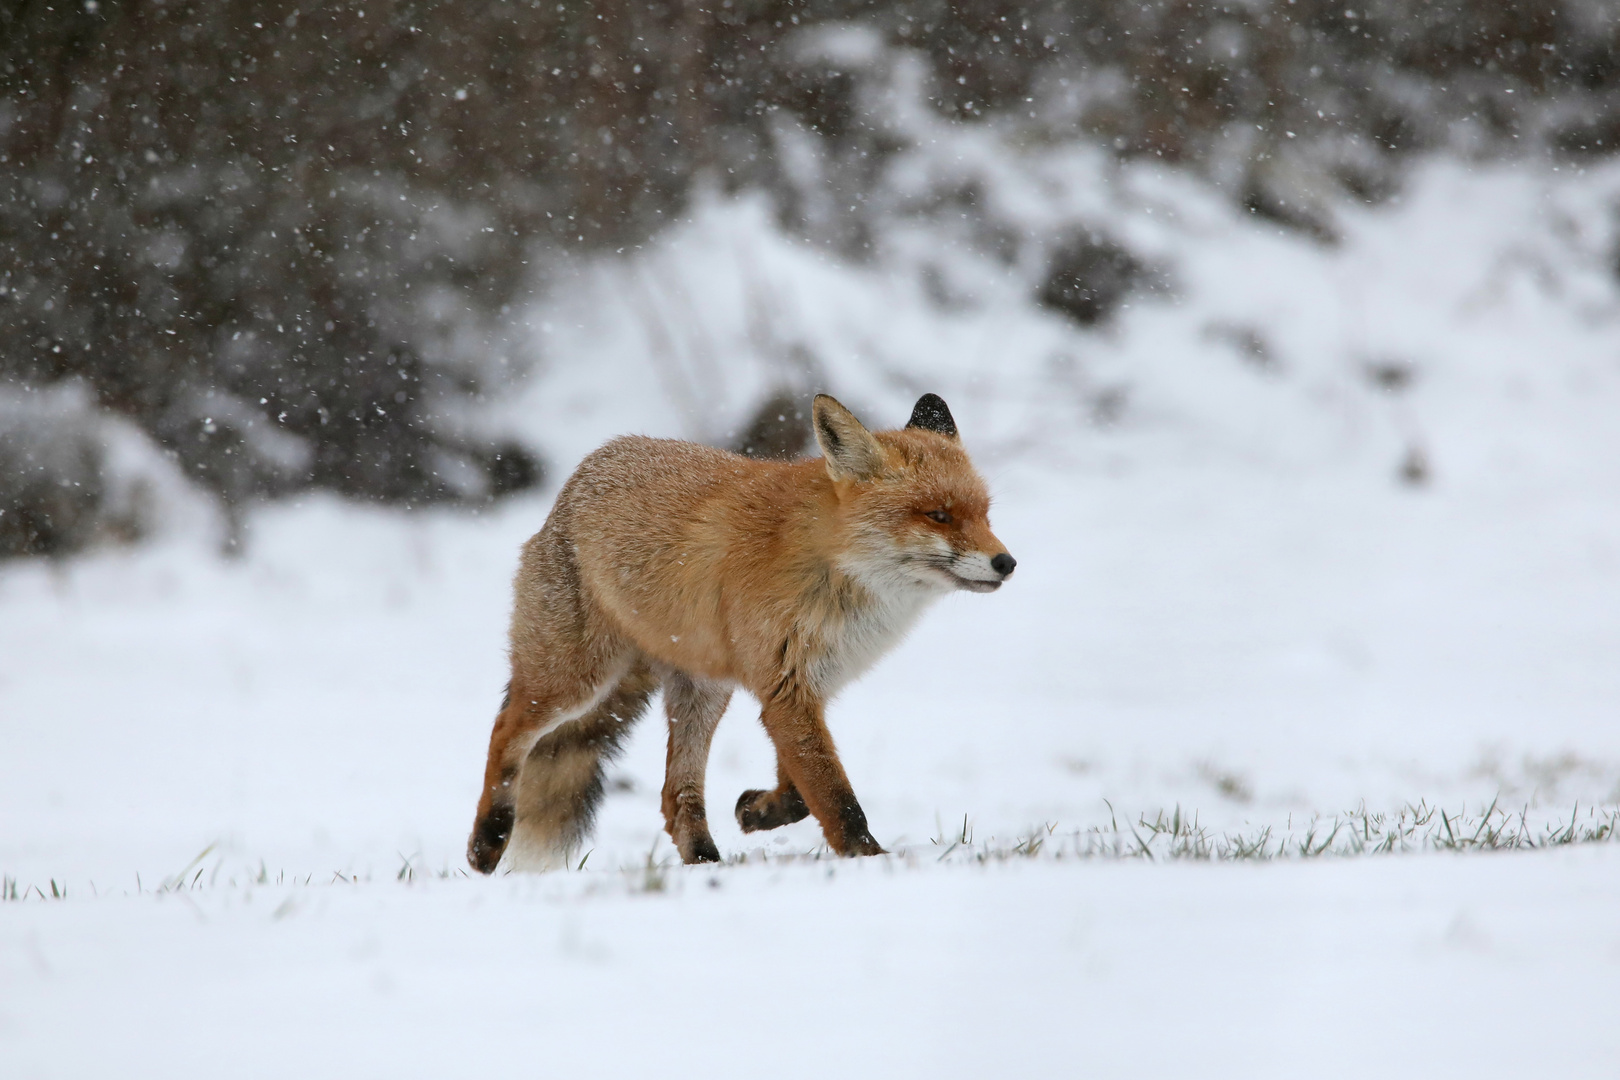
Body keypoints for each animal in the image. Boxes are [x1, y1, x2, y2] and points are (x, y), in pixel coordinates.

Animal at [469, 393, 1017, 874]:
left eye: (986, 514)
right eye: (938, 515)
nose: (1006, 563)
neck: (833, 569)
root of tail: (582, 473)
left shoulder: (801, 688)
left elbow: (801, 790)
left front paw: (758, 810)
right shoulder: (787, 686)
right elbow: (836, 796)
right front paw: (869, 859)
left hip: (703, 693)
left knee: (676, 796)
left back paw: (706, 863)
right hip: (574, 681)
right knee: (504, 731)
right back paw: (487, 840)